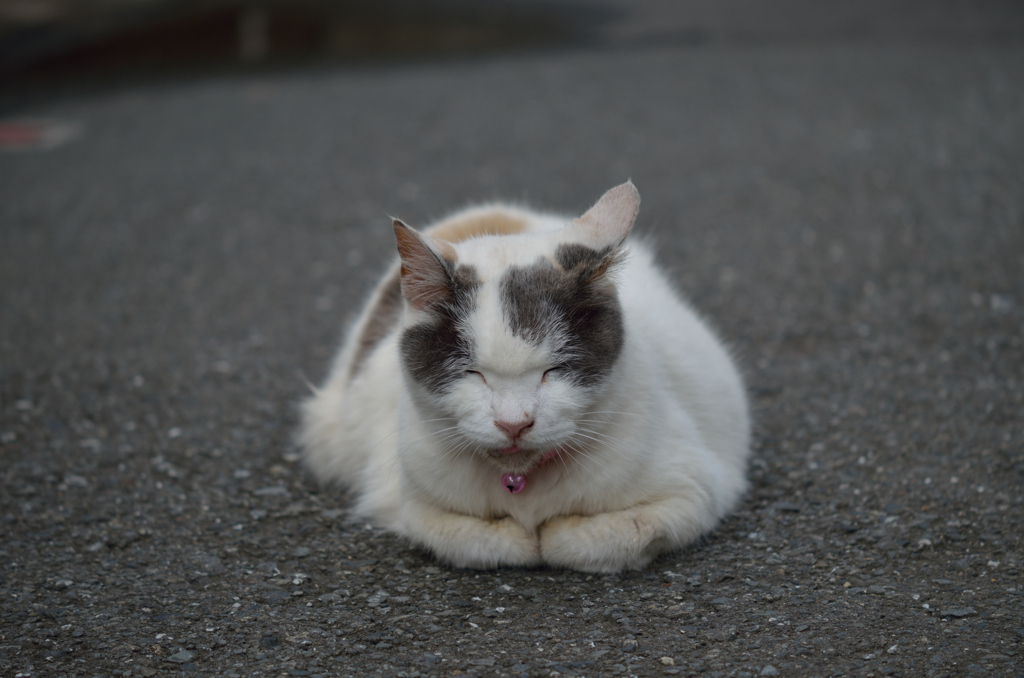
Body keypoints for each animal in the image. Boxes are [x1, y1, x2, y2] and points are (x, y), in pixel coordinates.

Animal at [299, 182, 749, 573]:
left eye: (555, 369)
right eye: (472, 373)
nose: (514, 424)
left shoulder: (695, 492)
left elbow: (600, 536)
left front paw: (552, 533)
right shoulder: (408, 501)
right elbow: (472, 539)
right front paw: (521, 539)